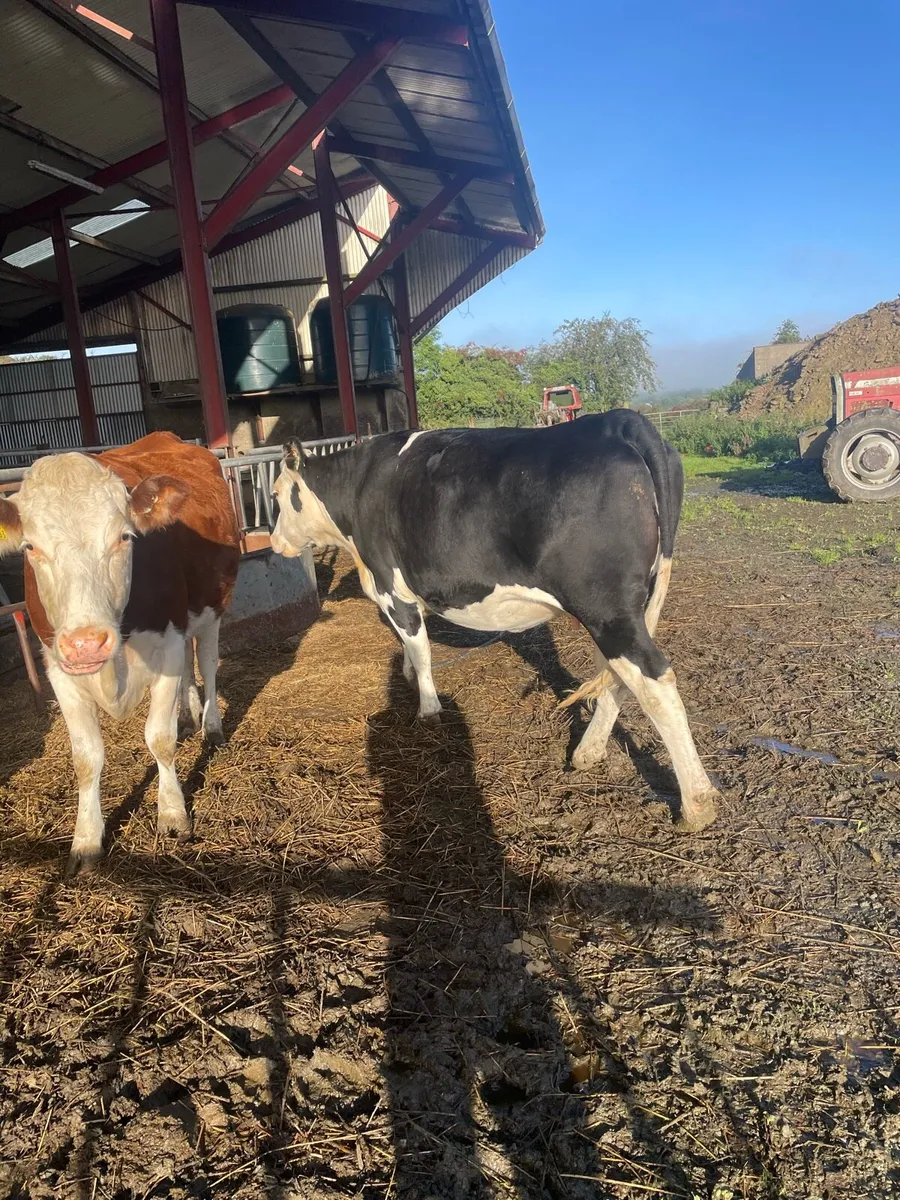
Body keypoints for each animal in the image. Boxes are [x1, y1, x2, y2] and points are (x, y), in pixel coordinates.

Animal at [0, 431, 240, 873]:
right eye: (30, 547)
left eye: (124, 537)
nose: (86, 643)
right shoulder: (57, 667)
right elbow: (86, 757)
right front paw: (85, 839)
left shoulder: (168, 642)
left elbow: (159, 738)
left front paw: (173, 814)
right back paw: (188, 715)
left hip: (213, 605)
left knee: (207, 663)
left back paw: (211, 726)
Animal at [271, 411, 718, 833]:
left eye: (275, 495)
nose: (274, 543)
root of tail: (616, 420)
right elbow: (409, 647)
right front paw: (407, 676)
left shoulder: (391, 586)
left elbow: (420, 648)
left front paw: (428, 708)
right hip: (624, 609)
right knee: (620, 677)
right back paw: (586, 753)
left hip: (606, 608)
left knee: (654, 682)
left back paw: (696, 806)